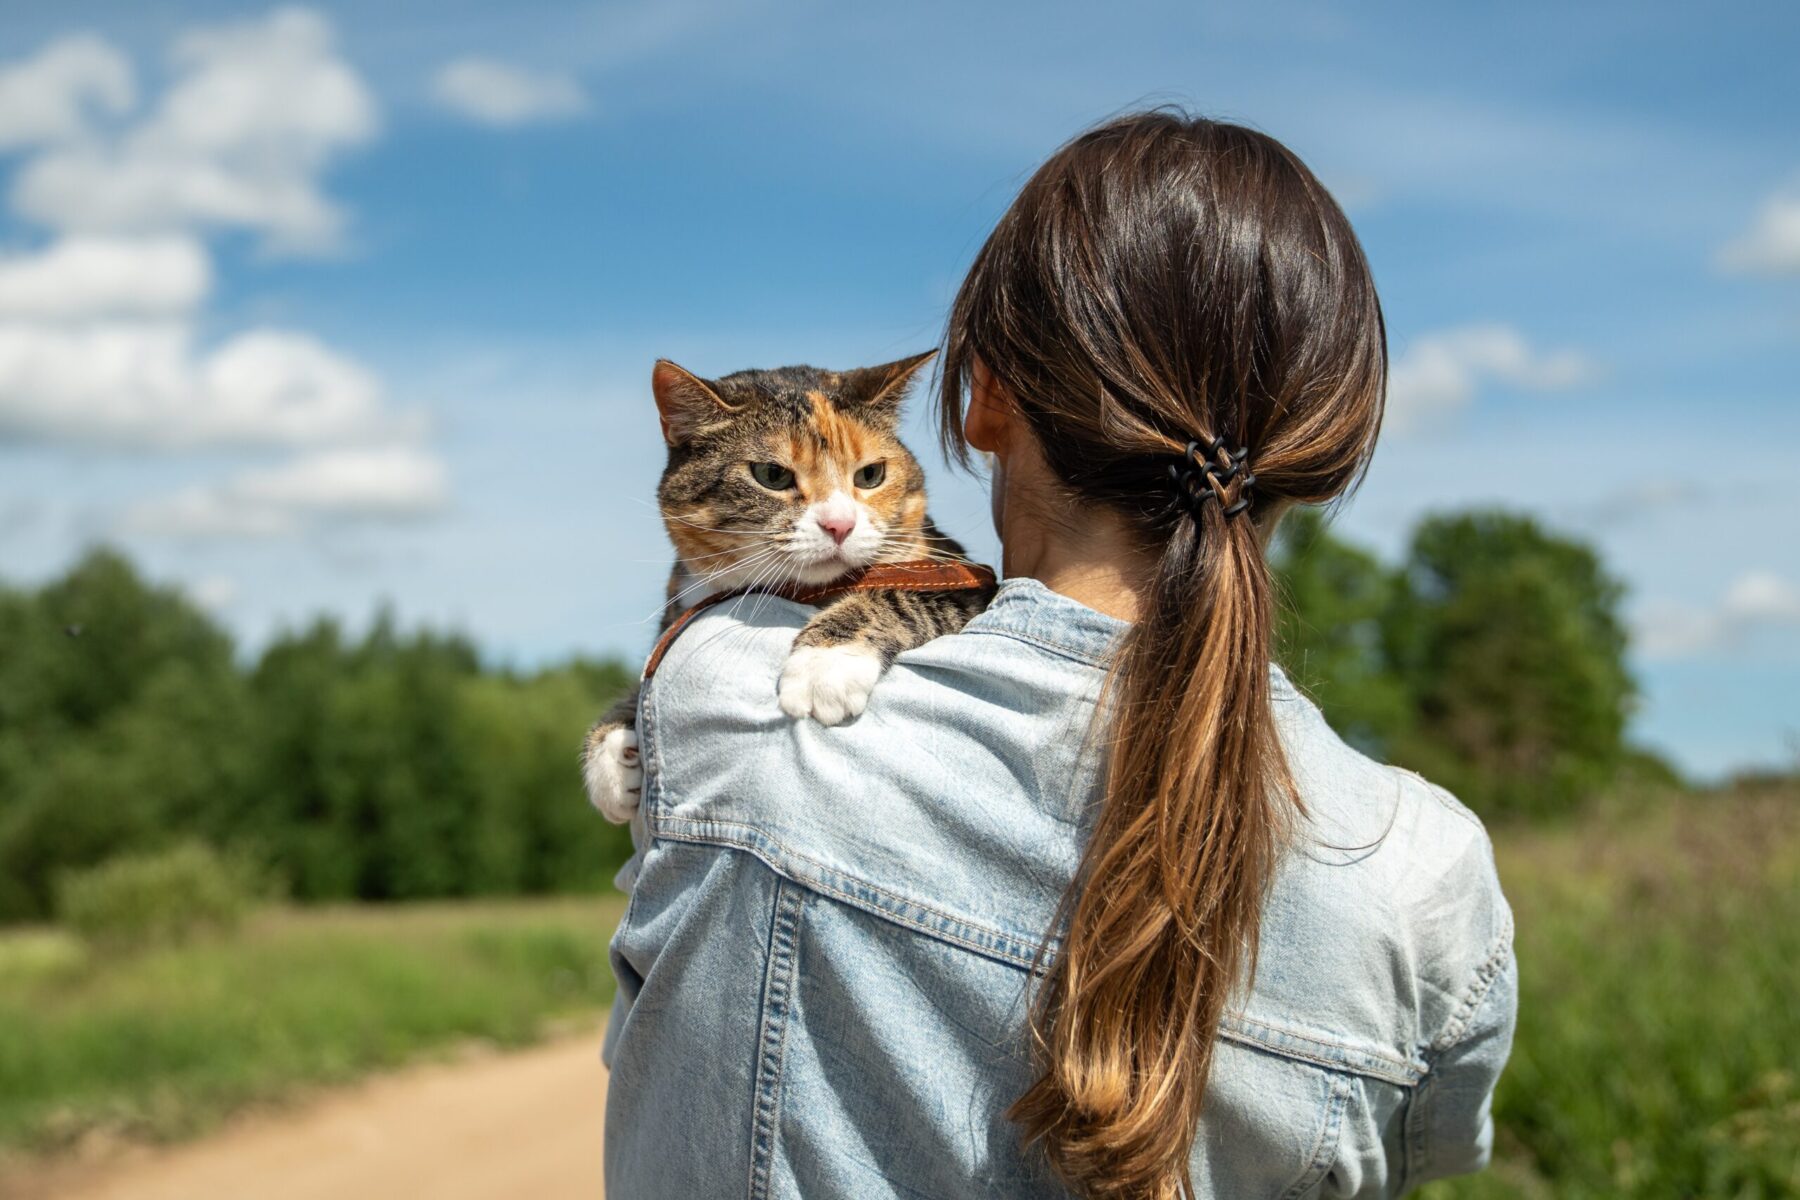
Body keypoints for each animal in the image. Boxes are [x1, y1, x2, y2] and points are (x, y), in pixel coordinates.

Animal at [579, 352, 993, 820]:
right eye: (772, 475)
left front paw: (825, 664)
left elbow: (899, 593)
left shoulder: (963, 577)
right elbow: (652, 664)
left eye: (871, 474)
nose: (840, 524)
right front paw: (612, 757)